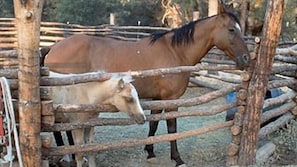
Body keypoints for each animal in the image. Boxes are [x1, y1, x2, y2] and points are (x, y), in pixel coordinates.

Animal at [40, 3, 249, 166]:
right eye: (231, 29)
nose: (247, 58)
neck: (175, 52)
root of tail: (53, 47)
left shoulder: (158, 98)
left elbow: (154, 124)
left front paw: (150, 151)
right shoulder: (171, 99)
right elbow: (171, 127)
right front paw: (177, 158)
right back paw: (69, 156)